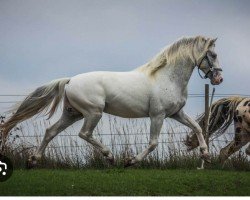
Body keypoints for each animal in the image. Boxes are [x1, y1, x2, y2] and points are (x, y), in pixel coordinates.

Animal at [0, 36, 223, 167]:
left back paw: (33, 160)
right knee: (84, 134)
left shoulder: (176, 113)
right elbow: (153, 143)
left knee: (50, 131)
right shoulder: (157, 115)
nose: (219, 79)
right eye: (212, 54)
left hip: (73, 113)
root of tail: (70, 80)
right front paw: (131, 161)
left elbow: (197, 127)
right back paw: (110, 156)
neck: (165, 78)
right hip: (93, 112)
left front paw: (205, 155)